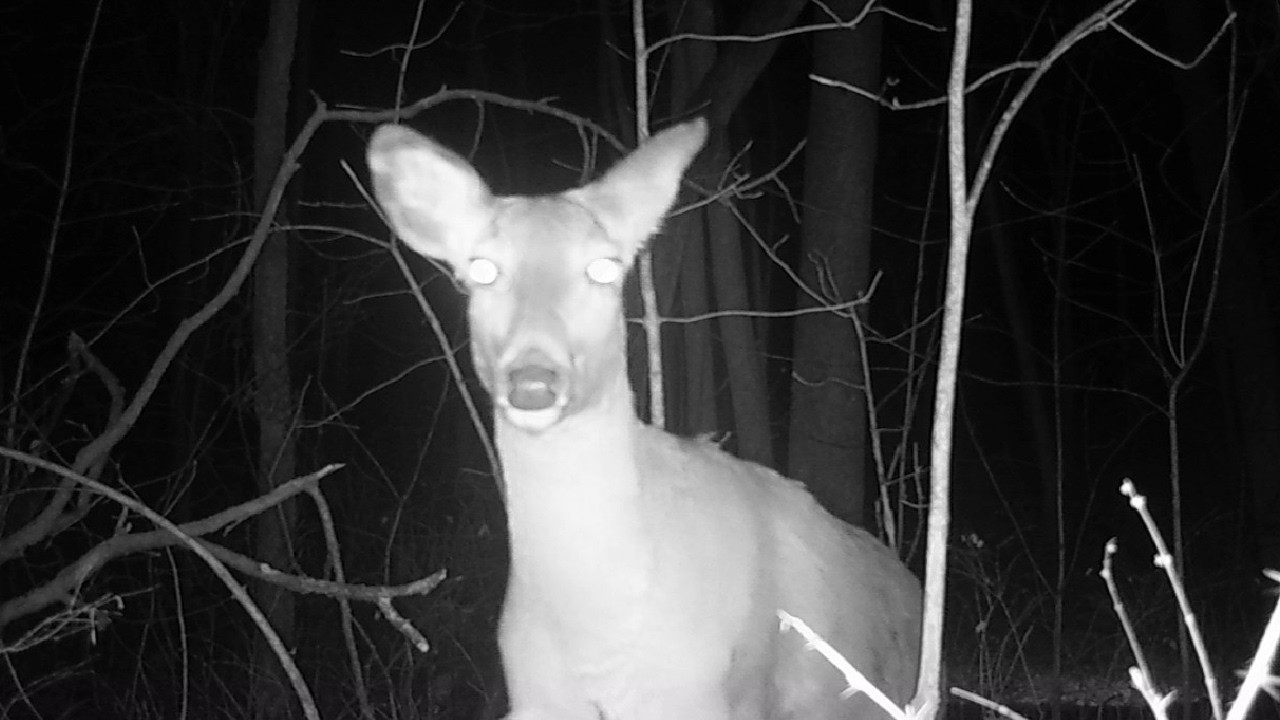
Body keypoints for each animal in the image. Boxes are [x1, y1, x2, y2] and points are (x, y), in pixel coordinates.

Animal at [367, 117, 922, 720]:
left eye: (604, 268)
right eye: (483, 269)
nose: (533, 381)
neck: (601, 642)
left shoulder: (715, 698)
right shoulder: (535, 699)